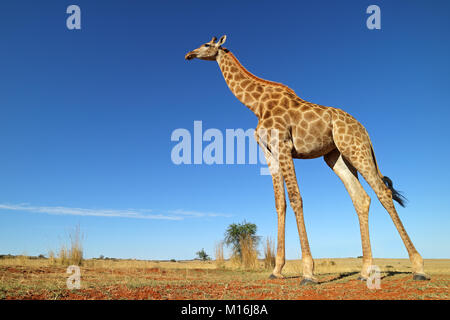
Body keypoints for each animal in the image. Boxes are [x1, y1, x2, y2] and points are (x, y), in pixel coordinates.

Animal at [185, 35, 430, 284]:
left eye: (206, 45)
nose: (189, 55)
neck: (257, 105)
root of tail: (365, 131)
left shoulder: (283, 145)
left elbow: (295, 198)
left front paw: (308, 272)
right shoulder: (269, 152)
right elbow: (279, 203)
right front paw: (277, 270)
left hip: (356, 149)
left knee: (383, 193)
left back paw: (418, 268)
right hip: (336, 157)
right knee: (361, 198)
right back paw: (364, 272)